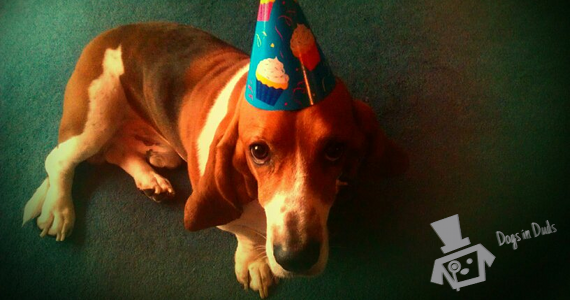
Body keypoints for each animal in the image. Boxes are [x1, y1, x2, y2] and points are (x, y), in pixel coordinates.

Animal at [21, 22, 404, 298]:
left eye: (335, 149)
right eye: (258, 151)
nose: (296, 258)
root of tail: (109, 34)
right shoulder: (226, 211)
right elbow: (244, 233)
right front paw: (253, 262)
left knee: (118, 150)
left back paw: (150, 178)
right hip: (93, 120)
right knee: (59, 161)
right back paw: (59, 209)